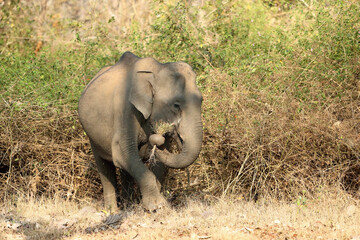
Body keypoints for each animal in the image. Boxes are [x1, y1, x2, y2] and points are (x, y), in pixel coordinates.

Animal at [78, 51, 202, 211]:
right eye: (176, 105)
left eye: (201, 100)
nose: (156, 140)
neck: (156, 70)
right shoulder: (125, 109)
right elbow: (122, 153)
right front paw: (156, 206)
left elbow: (159, 164)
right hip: (91, 136)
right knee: (105, 166)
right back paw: (112, 211)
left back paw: (128, 207)